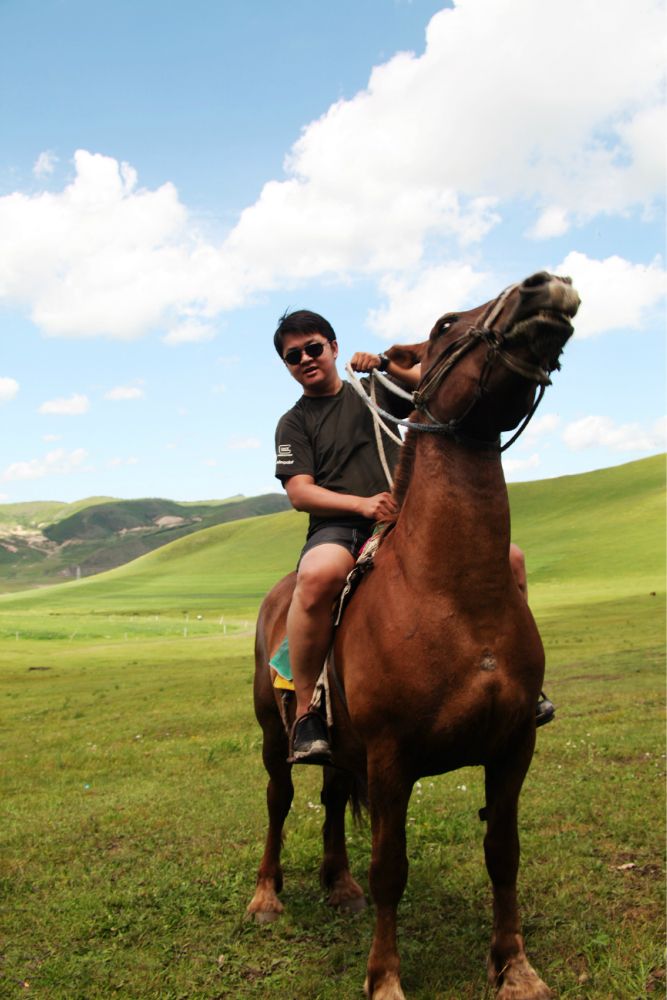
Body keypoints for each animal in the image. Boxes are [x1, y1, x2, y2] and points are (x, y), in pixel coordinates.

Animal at [248, 270, 580, 996]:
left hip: (344, 749)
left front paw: (514, 967)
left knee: (331, 794)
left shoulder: (512, 747)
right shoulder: (392, 758)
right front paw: (385, 979)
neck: (451, 594)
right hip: (273, 735)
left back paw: (337, 884)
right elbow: (389, 871)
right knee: (280, 800)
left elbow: (503, 854)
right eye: (443, 325)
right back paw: (265, 896)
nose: (546, 285)